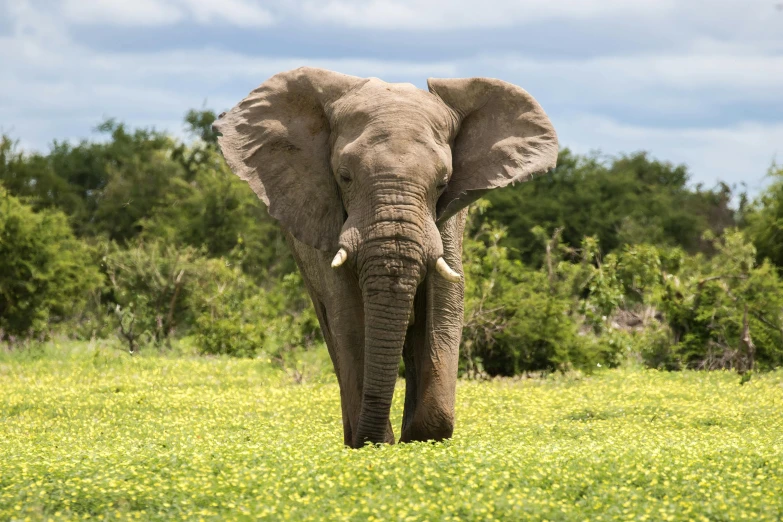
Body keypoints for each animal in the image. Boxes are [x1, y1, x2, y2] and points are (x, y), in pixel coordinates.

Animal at [213, 67, 556, 444]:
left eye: (443, 182)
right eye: (344, 177)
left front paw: (420, 436)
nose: (375, 438)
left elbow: (444, 304)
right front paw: (375, 443)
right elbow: (348, 315)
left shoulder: (448, 218)